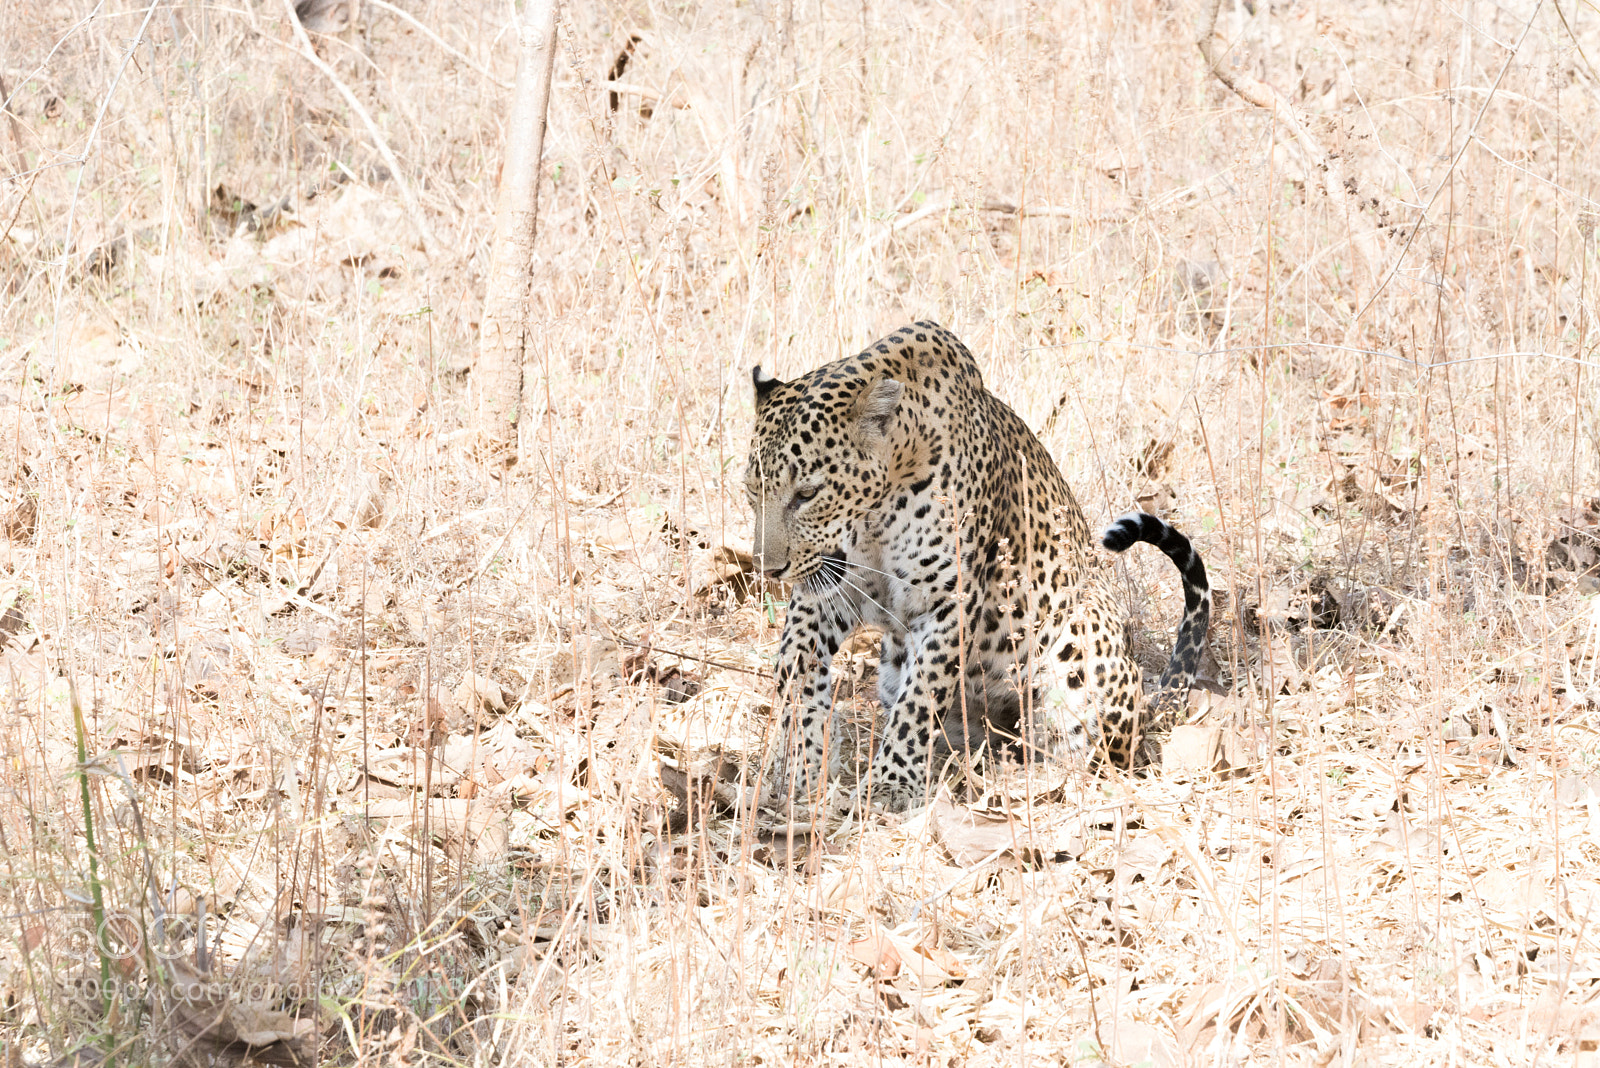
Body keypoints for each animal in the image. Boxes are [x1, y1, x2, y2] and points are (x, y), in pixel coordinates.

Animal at [745, 321, 1211, 812]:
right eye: (752, 490)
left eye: (807, 494)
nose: (768, 570)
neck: (877, 515)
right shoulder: (822, 595)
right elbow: (796, 676)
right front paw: (798, 770)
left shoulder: (948, 602)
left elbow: (920, 699)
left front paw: (891, 784)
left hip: (1082, 646)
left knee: (1093, 757)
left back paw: (1031, 782)